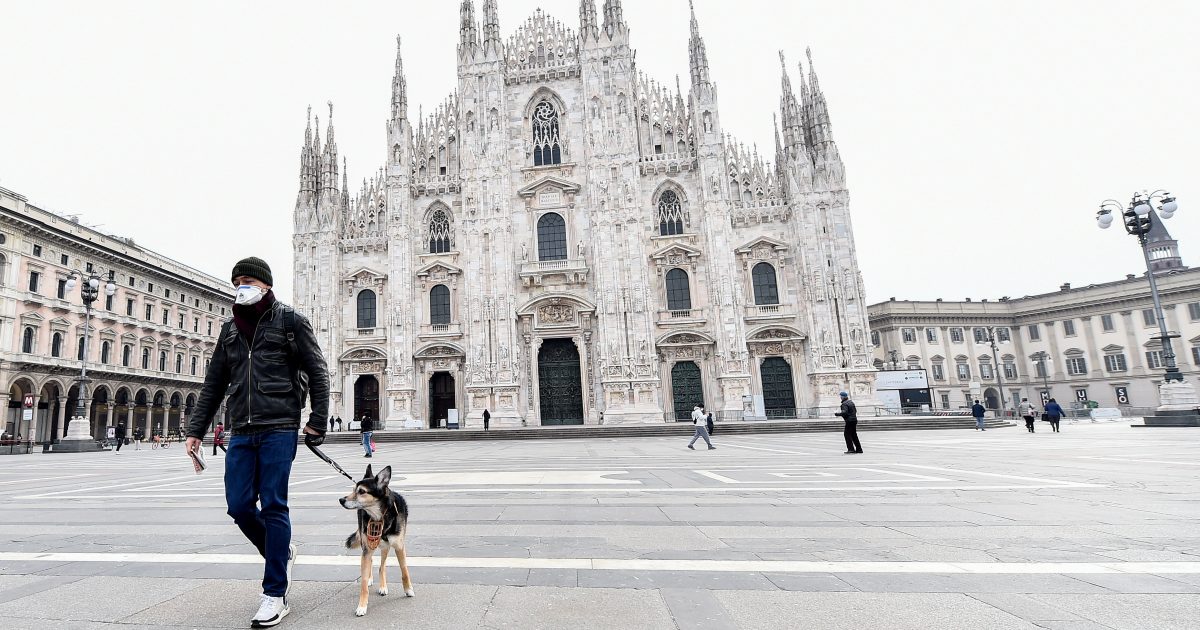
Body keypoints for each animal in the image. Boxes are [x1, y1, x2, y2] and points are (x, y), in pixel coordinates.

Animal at [340, 460, 415, 614]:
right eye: (353, 489)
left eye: (361, 491)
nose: (341, 500)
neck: (381, 517)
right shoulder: (367, 548)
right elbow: (363, 581)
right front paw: (362, 606)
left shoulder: (399, 546)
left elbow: (404, 569)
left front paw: (408, 589)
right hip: (367, 543)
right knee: (372, 562)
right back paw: (370, 578)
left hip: (385, 546)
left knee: (382, 566)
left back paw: (383, 586)